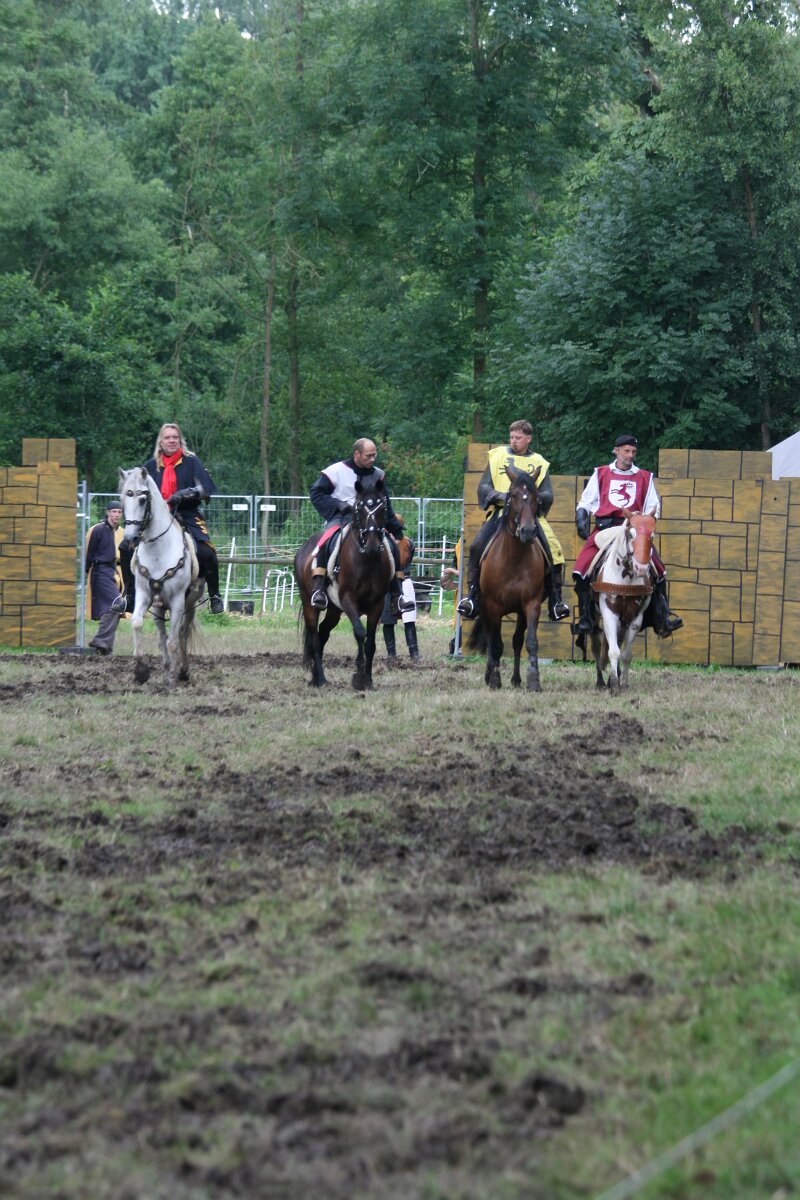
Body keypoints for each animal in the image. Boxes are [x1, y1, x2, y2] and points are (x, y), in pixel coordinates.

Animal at [118, 466, 204, 688]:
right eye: (123, 499)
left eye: (142, 499)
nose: (130, 538)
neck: (158, 550)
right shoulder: (144, 594)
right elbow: (137, 624)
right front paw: (141, 672)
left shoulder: (177, 601)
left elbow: (173, 640)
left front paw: (172, 679)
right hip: (159, 606)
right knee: (163, 636)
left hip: (190, 604)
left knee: (182, 632)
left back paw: (182, 671)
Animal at [294, 476, 394, 690]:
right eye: (359, 508)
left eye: (382, 508)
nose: (373, 545)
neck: (366, 559)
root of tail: (303, 549)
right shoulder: (348, 600)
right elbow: (360, 632)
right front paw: (359, 676)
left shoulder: (377, 605)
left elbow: (370, 642)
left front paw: (368, 680)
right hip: (309, 604)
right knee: (314, 638)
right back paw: (321, 679)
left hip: (333, 610)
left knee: (323, 633)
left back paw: (316, 676)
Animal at [467, 462, 547, 691]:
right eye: (512, 495)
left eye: (536, 496)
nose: (528, 531)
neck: (514, 558)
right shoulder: (493, 607)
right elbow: (495, 645)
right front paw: (494, 679)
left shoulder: (531, 604)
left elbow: (530, 642)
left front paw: (533, 681)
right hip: (484, 609)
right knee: (491, 639)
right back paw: (489, 675)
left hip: (519, 612)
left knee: (517, 640)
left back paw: (517, 679)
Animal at [588, 512, 655, 691]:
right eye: (631, 535)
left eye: (652, 535)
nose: (641, 568)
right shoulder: (609, 614)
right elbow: (613, 651)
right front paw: (614, 685)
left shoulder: (635, 618)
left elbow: (625, 654)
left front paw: (622, 683)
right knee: (596, 646)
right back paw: (600, 682)